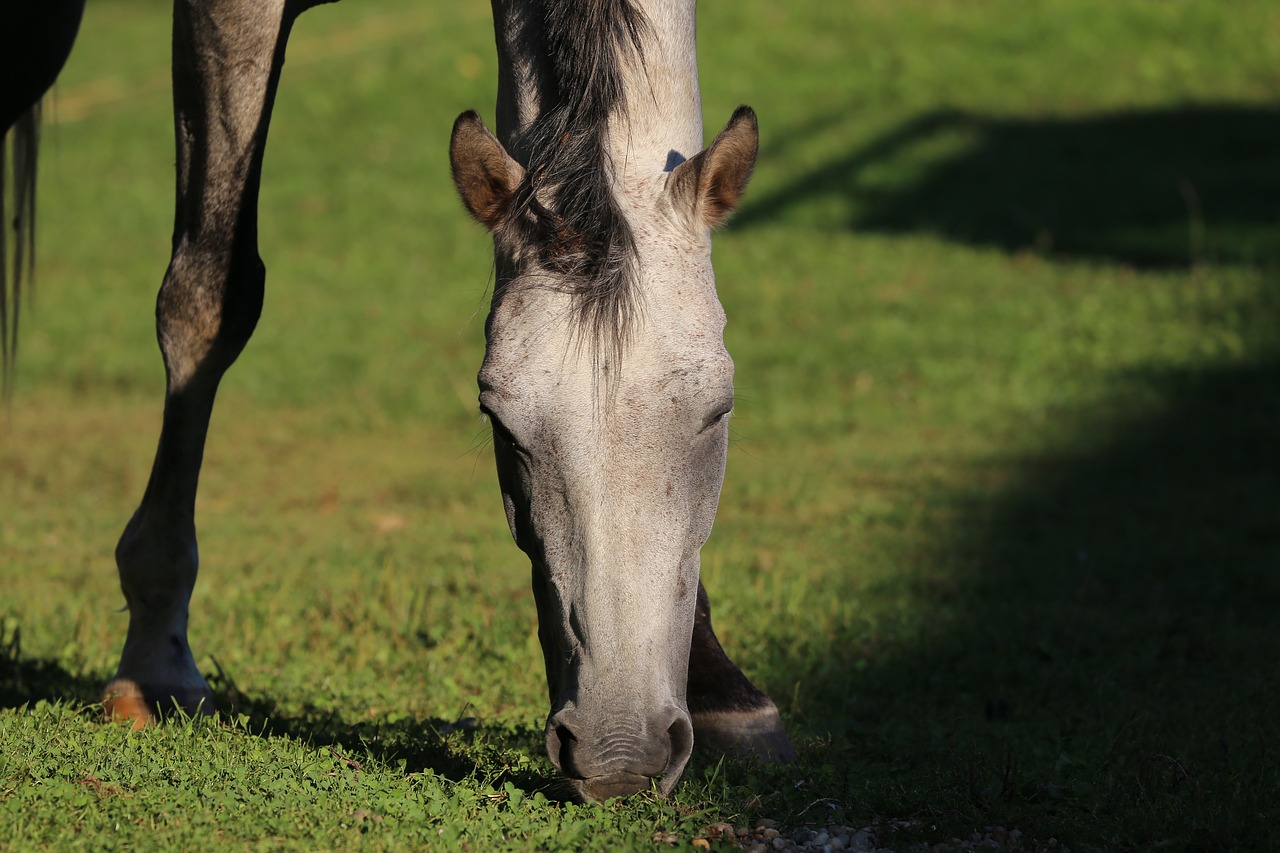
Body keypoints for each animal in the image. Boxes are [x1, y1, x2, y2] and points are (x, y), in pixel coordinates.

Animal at [2, 0, 788, 799]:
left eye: (719, 410)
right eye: (499, 422)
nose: (619, 753)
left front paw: (724, 692)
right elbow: (207, 298)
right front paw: (155, 664)